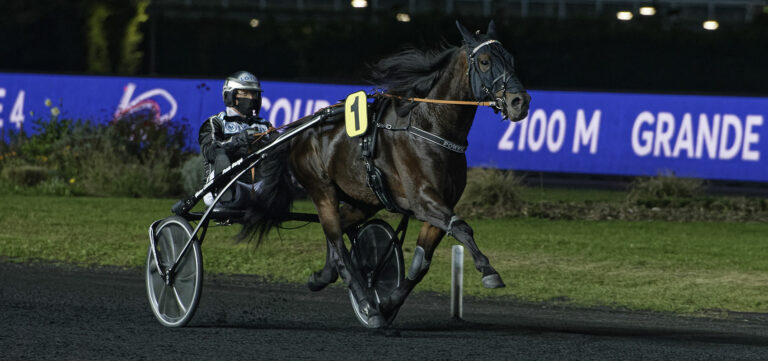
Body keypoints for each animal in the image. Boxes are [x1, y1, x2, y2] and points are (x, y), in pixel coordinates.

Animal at [243, 21, 532, 328]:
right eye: (485, 61)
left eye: (511, 59)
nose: (520, 101)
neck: (430, 127)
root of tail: (301, 130)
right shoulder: (424, 201)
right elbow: (463, 228)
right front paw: (489, 271)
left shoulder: (440, 207)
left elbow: (421, 263)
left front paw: (390, 302)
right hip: (321, 190)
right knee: (339, 246)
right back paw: (367, 306)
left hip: (364, 200)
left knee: (340, 233)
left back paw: (325, 279)